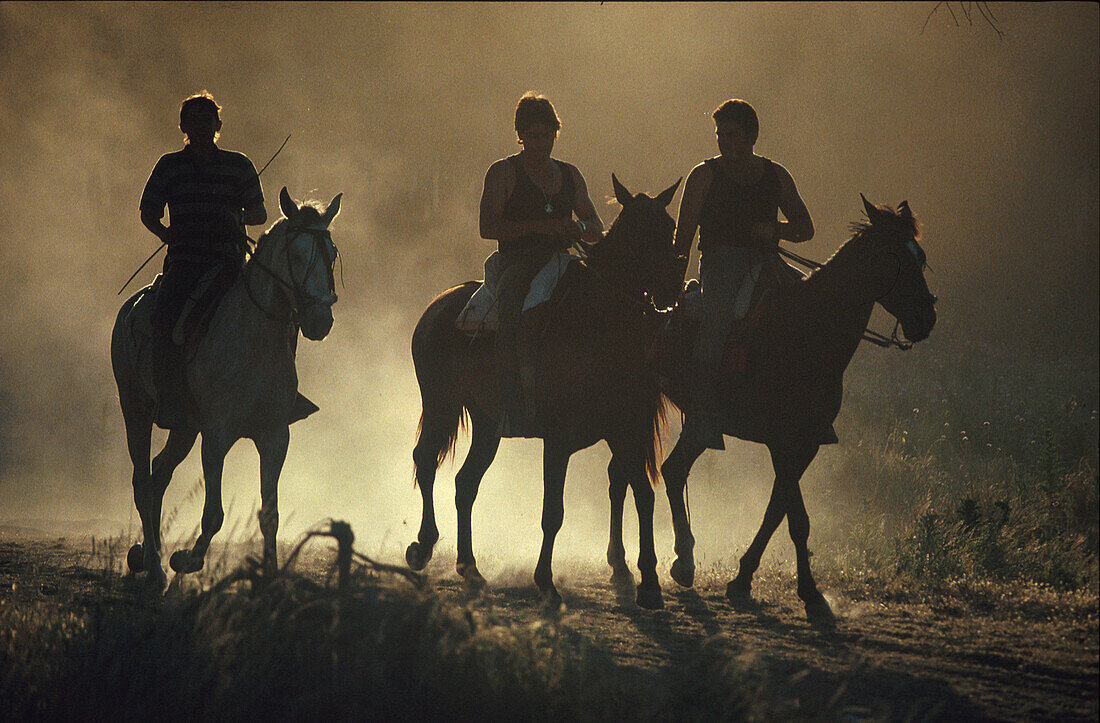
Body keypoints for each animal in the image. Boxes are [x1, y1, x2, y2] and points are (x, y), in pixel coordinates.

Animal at [112, 185, 338, 585]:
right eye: (296, 254)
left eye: (333, 253)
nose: (320, 321)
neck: (253, 340)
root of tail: (130, 307)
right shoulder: (217, 436)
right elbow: (213, 515)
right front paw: (186, 560)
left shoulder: (274, 436)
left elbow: (269, 514)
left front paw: (271, 577)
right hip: (135, 408)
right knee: (142, 482)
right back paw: (154, 565)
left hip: (185, 427)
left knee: (158, 475)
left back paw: (146, 555)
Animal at [404, 174, 677, 607]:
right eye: (637, 232)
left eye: (669, 229)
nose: (673, 287)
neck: (597, 325)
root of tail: (437, 306)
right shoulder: (559, 440)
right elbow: (554, 512)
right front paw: (546, 583)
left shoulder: (628, 430)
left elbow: (643, 496)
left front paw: (649, 583)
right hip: (441, 405)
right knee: (426, 460)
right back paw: (423, 547)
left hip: (487, 425)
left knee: (465, 484)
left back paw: (470, 569)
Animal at [646, 196, 941, 620]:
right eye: (894, 257)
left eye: (920, 257)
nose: (926, 318)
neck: (807, 332)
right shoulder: (782, 442)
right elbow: (797, 518)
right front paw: (811, 593)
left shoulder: (807, 442)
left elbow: (777, 510)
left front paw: (743, 579)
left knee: (672, 471)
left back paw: (682, 562)